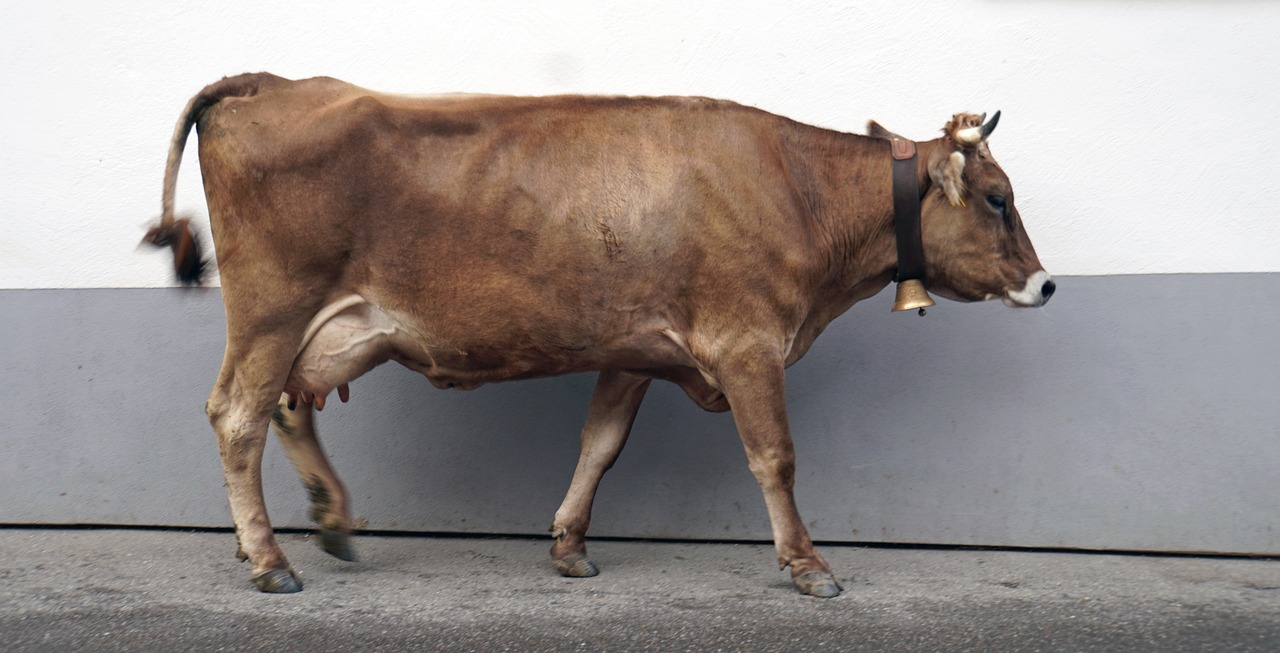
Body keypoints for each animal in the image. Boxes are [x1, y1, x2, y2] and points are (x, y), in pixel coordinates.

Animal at [143, 72, 1053, 598]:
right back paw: (269, 559)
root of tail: (272, 82)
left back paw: (322, 522)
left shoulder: (634, 349)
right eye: (999, 198)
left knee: (288, 409)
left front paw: (569, 544)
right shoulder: (748, 342)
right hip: (272, 309)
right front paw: (807, 565)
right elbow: (775, 457)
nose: (1045, 283)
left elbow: (599, 445)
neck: (800, 190)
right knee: (238, 416)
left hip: (328, 327)